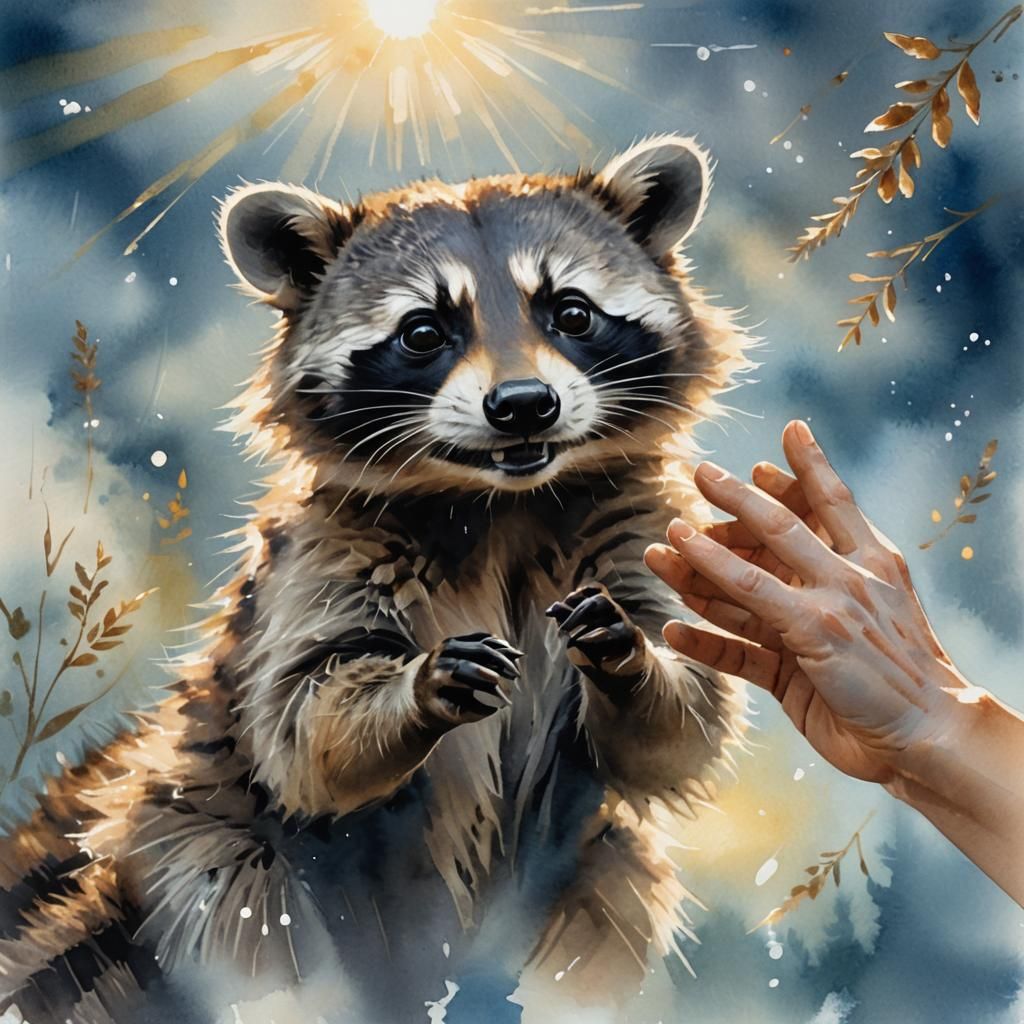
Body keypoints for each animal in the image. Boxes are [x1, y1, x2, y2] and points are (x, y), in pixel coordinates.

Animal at [0, 135, 752, 1024]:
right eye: (423, 331)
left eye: (571, 312)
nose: (523, 405)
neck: (502, 502)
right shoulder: (323, 556)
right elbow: (304, 725)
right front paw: (417, 688)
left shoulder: (639, 530)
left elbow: (681, 725)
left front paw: (632, 658)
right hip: (196, 841)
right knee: (241, 915)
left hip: (582, 875)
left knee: (609, 909)